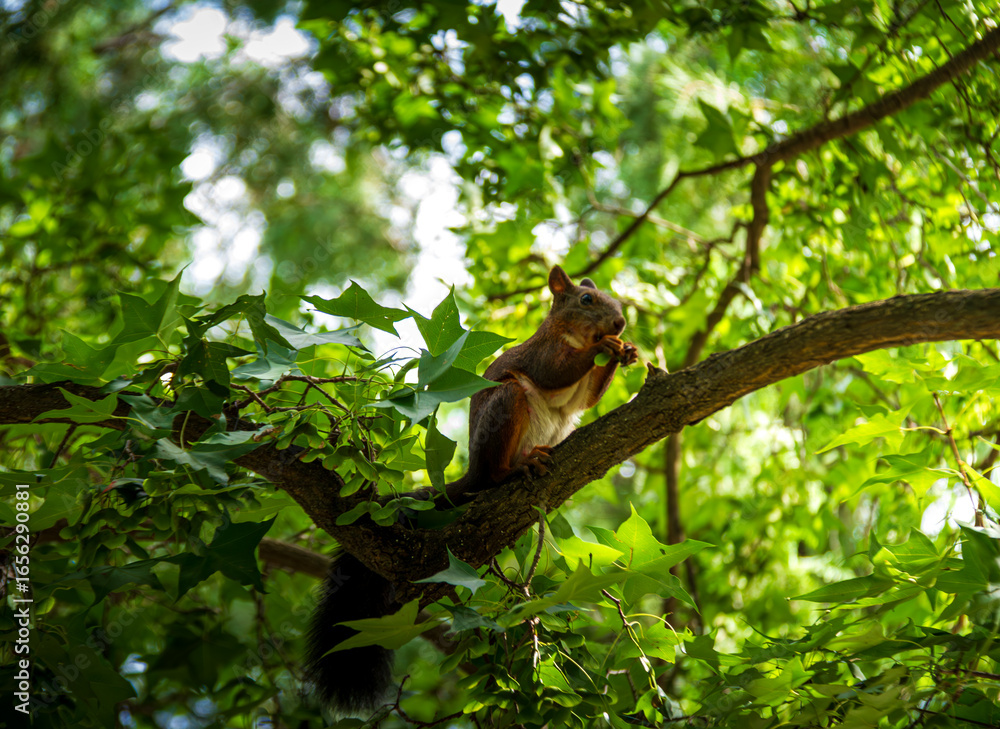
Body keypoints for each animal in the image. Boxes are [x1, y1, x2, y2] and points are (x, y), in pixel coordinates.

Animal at [306, 265, 637, 715]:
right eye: (587, 301)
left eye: (614, 300)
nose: (619, 323)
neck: (570, 334)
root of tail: (474, 472)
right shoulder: (542, 353)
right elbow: (555, 373)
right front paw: (607, 345)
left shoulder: (580, 398)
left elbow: (585, 398)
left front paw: (626, 351)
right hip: (508, 405)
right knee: (497, 470)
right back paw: (518, 468)